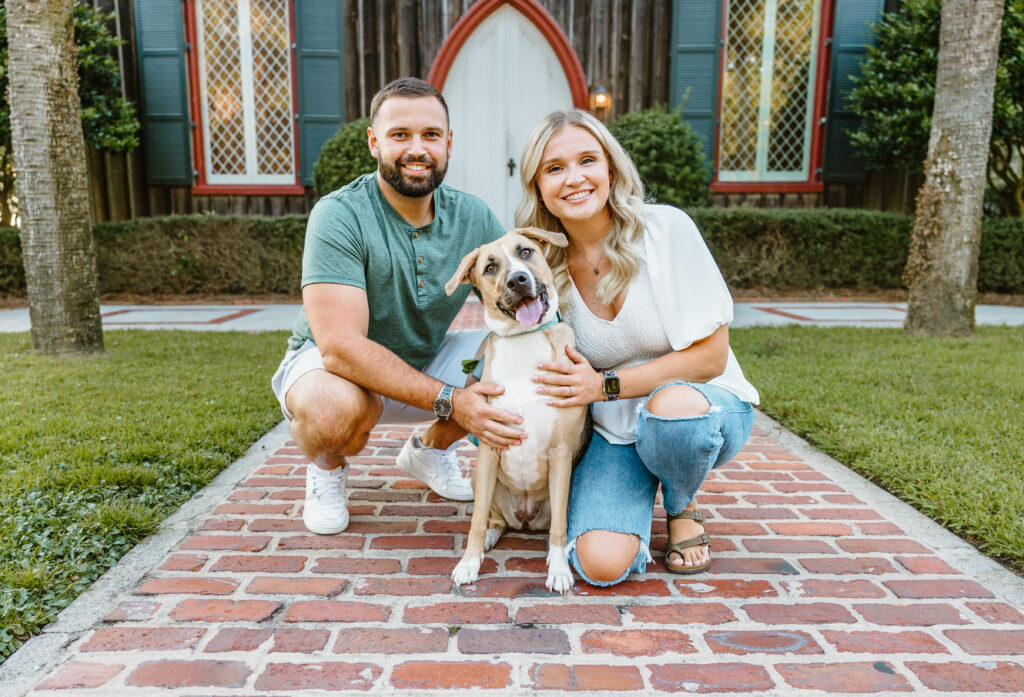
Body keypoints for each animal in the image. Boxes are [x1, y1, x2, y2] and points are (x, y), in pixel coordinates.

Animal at [444, 227, 589, 593]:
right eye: (490, 268)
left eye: (525, 252)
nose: (518, 280)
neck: (525, 338)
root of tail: (525, 518)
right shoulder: (489, 446)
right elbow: (477, 520)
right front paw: (469, 562)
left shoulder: (561, 452)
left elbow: (560, 528)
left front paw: (559, 570)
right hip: (483, 480)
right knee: (493, 518)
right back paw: (488, 540)